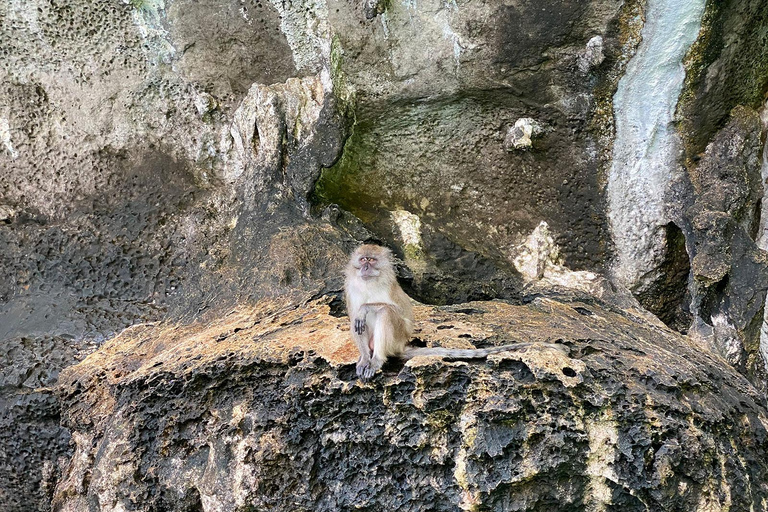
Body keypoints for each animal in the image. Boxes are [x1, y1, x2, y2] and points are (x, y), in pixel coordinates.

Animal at [344, 244, 568, 380]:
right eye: (362, 259)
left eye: (371, 260)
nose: (364, 268)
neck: (370, 283)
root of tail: (399, 347)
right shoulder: (352, 289)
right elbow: (354, 317)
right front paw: (363, 358)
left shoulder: (388, 288)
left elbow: (395, 312)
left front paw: (366, 308)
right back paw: (368, 358)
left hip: (396, 339)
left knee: (385, 313)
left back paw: (377, 359)